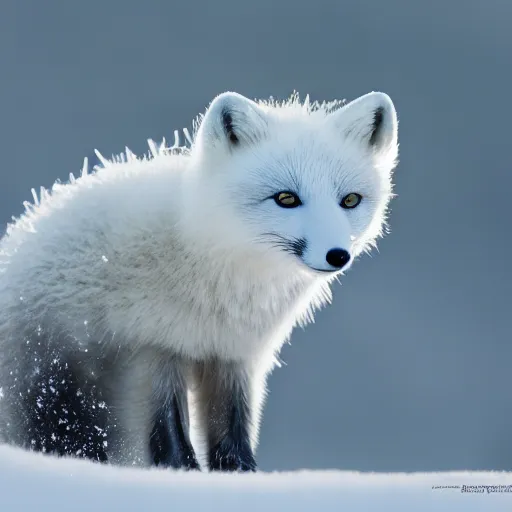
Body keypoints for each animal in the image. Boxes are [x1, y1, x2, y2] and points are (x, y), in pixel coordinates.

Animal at [0, 89, 398, 472]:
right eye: (286, 198)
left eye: (350, 200)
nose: (337, 255)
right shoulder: (151, 348)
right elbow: (172, 438)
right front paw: (182, 473)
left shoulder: (233, 355)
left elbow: (232, 437)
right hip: (55, 397)